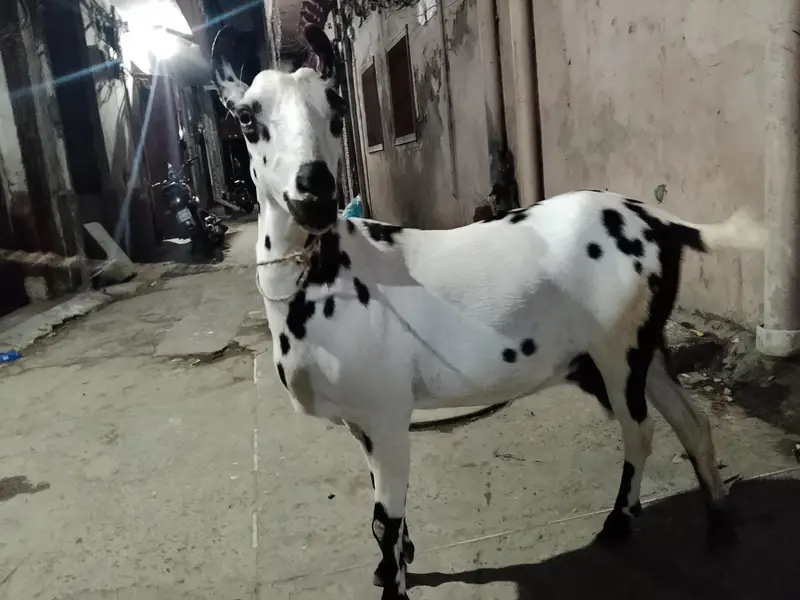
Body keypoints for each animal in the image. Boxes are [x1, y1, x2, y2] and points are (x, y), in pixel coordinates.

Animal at [211, 25, 767, 600]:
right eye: (247, 117)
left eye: (337, 109)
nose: (314, 195)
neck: (327, 274)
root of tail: (657, 219)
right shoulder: (362, 421)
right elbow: (385, 518)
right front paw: (396, 563)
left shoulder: (386, 413)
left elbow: (385, 520)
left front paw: (395, 581)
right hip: (644, 344)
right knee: (691, 421)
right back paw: (719, 521)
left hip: (617, 351)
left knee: (640, 430)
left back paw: (619, 522)